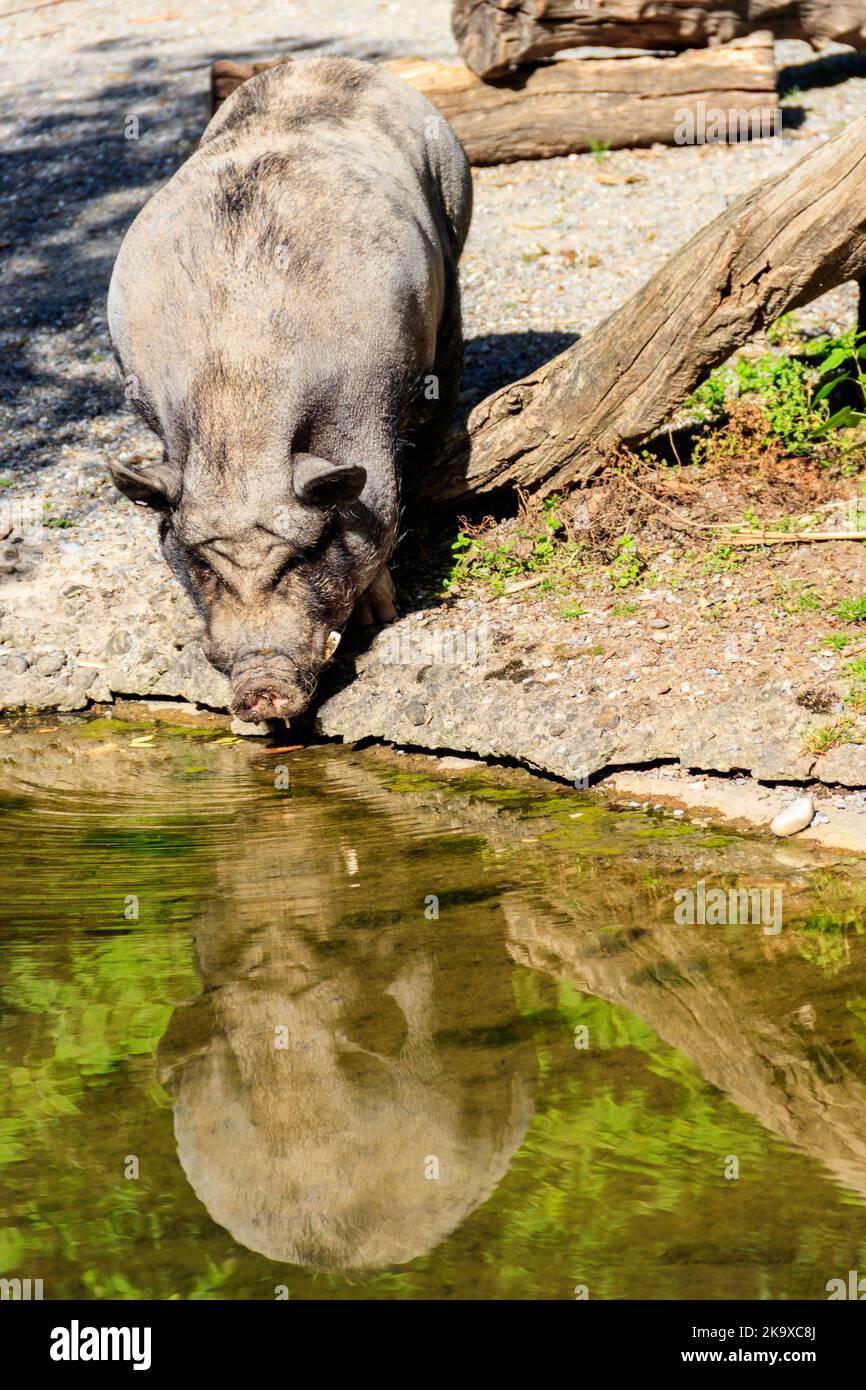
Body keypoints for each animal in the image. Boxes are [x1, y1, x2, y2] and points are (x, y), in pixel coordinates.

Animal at [109, 59, 475, 722]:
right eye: (202, 566)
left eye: (304, 555)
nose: (261, 688)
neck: (243, 392)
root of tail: (325, 62)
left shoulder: (366, 411)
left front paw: (379, 615)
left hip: (455, 207)